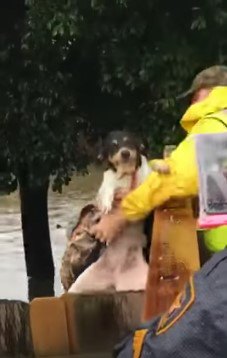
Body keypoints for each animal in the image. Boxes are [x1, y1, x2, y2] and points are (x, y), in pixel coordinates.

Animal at [68, 131, 152, 294]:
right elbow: (108, 187)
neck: (126, 174)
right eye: (114, 145)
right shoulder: (108, 181)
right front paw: (107, 203)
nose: (125, 153)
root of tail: (117, 281)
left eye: (129, 141)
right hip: (79, 286)